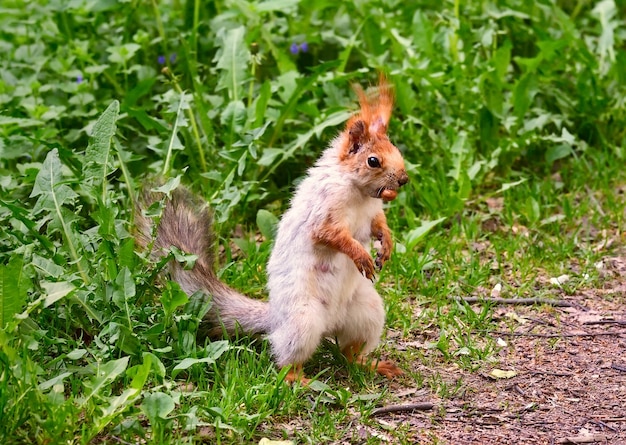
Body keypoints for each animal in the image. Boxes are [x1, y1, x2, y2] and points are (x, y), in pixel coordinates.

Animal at [136, 75, 408, 382]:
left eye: (396, 151)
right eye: (373, 161)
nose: (404, 179)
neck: (359, 194)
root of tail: (276, 318)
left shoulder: (372, 214)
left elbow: (378, 226)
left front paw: (386, 246)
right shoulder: (323, 211)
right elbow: (332, 235)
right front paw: (360, 255)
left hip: (367, 314)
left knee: (349, 352)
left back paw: (371, 365)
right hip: (303, 321)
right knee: (286, 358)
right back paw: (298, 379)